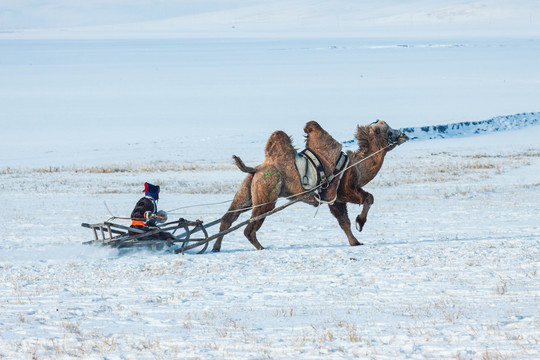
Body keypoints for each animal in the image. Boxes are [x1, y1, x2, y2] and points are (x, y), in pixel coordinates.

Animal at [213, 119, 408, 252]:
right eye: (388, 130)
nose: (403, 134)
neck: (356, 166)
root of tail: (256, 169)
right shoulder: (345, 189)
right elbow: (368, 198)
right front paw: (360, 222)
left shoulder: (334, 200)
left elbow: (343, 222)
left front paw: (355, 242)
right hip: (267, 191)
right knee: (250, 225)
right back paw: (260, 246)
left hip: (248, 189)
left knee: (229, 217)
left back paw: (216, 247)